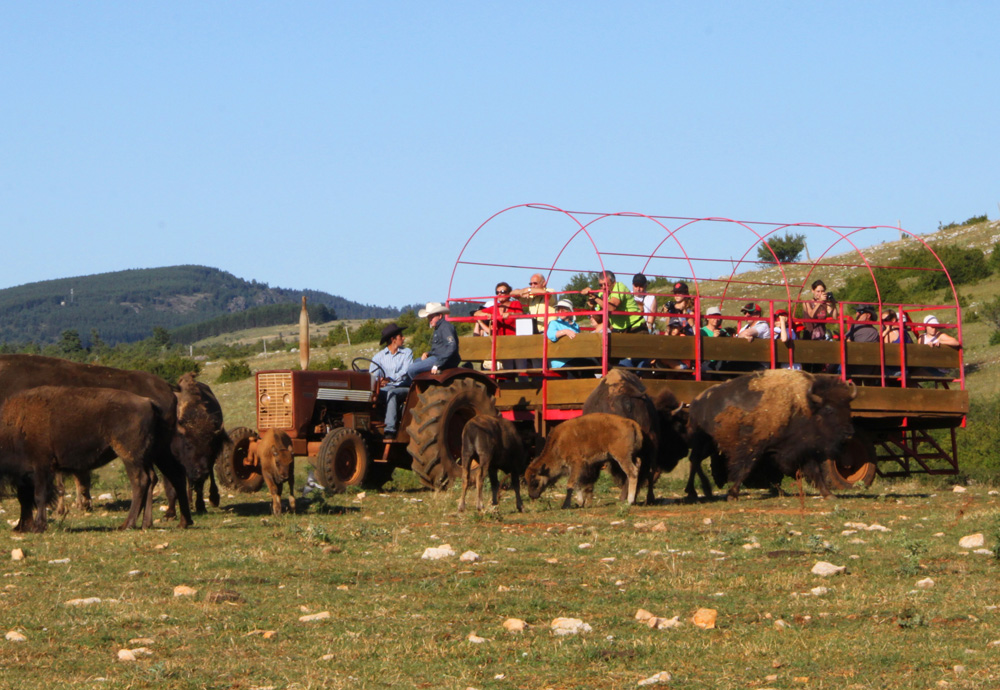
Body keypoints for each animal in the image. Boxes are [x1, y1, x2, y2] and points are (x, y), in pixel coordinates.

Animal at [0, 384, 160, 528]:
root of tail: (147, 402)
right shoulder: (24, 474)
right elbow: (24, 499)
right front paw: (21, 528)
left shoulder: (41, 467)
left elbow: (39, 496)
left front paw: (38, 526)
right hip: (145, 457)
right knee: (152, 478)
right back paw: (146, 523)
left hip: (130, 457)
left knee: (140, 482)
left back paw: (127, 524)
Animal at [520, 412, 652, 508]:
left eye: (535, 481)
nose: (532, 495)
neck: (557, 444)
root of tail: (632, 423)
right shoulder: (575, 469)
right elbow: (577, 484)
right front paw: (580, 502)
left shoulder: (576, 464)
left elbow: (571, 484)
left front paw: (566, 505)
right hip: (631, 456)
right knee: (637, 465)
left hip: (622, 457)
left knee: (632, 472)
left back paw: (630, 501)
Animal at [688, 368, 860, 498]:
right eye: (829, 409)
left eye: (848, 407)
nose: (849, 433)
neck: (804, 406)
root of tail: (696, 402)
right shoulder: (753, 447)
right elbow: (744, 469)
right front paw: (732, 494)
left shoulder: (804, 449)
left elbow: (816, 471)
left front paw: (829, 494)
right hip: (702, 443)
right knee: (694, 461)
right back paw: (694, 492)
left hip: (710, 446)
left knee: (695, 462)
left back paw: (700, 492)